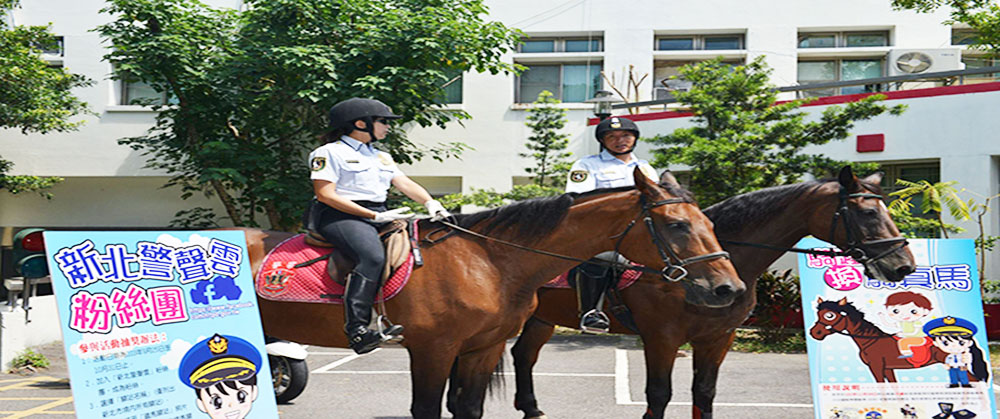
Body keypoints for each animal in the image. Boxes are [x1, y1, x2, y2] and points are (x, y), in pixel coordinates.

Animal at [242, 169, 744, 418]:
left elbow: (467, 408)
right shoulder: (433, 350)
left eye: (710, 222)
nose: (729, 288)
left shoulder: (480, 349)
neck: (488, 261)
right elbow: (427, 409)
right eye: (676, 225)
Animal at [504, 166, 916, 418]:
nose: (903, 266)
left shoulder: (719, 337)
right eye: (867, 213)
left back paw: (532, 407)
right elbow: (659, 395)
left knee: (524, 356)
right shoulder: (662, 338)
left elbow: (704, 393)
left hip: (541, 317)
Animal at [812, 298, 992, 384]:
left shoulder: (876, 367)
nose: (814, 333)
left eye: (830, 315)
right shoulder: (888, 369)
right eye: (818, 314)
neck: (871, 341)